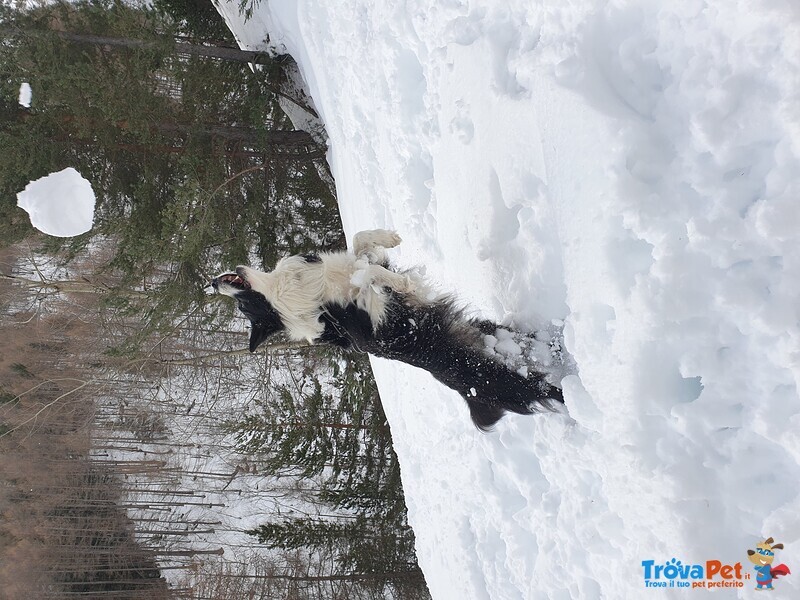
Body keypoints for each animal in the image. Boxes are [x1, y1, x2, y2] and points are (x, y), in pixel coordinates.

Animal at [212, 227, 564, 428]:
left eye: (242, 306)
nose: (213, 284)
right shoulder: (373, 324)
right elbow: (370, 276)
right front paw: (398, 280)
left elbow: (361, 249)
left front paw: (386, 238)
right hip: (513, 379)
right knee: (553, 390)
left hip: (505, 337)